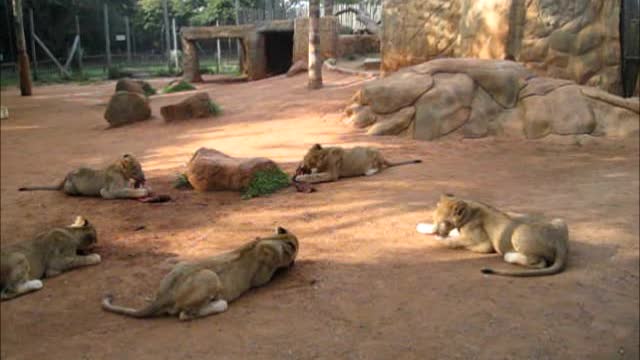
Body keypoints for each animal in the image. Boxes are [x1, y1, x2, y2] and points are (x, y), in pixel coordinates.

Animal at [18, 153, 149, 200]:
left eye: (141, 167)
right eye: (135, 170)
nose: (144, 178)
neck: (124, 174)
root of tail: (66, 176)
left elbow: (129, 188)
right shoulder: (109, 191)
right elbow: (126, 192)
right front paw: (144, 191)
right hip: (71, 187)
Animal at [101, 226, 298, 322]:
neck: (272, 239)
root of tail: (164, 296)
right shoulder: (262, 276)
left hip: (181, 265)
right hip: (210, 277)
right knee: (185, 315)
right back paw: (218, 303)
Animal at [292, 143, 422, 183]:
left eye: (306, 161)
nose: (300, 167)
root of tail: (383, 156)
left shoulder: (332, 174)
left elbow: (315, 176)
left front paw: (300, 178)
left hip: (373, 152)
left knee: (380, 167)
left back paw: (369, 171)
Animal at [420, 193, 568, 278]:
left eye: (444, 222)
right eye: (434, 219)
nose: (437, 231)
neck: (469, 210)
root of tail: (560, 243)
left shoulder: (485, 244)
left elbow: (456, 241)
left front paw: (440, 238)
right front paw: (423, 227)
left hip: (517, 234)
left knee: (540, 263)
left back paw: (510, 256)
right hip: (559, 220)